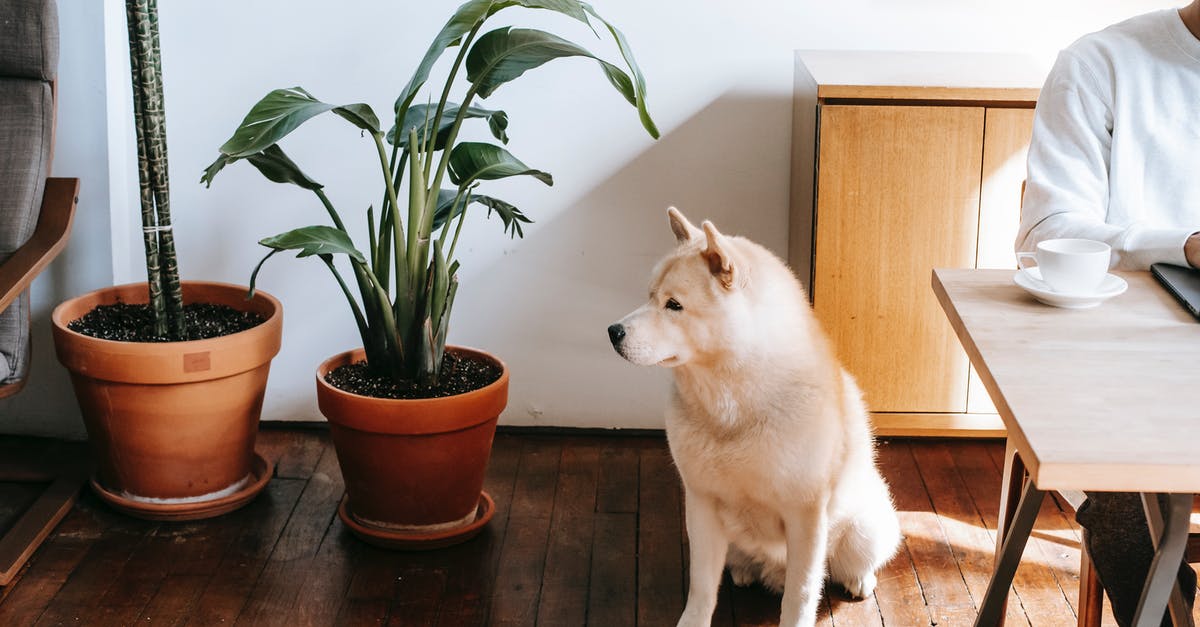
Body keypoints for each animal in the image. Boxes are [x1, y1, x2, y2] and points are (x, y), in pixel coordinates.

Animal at [609, 207, 902, 619]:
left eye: (674, 305)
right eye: (650, 296)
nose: (613, 331)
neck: (732, 410)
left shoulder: (806, 515)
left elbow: (800, 594)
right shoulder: (701, 502)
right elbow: (701, 588)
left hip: (865, 528)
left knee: (851, 563)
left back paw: (859, 579)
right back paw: (746, 572)